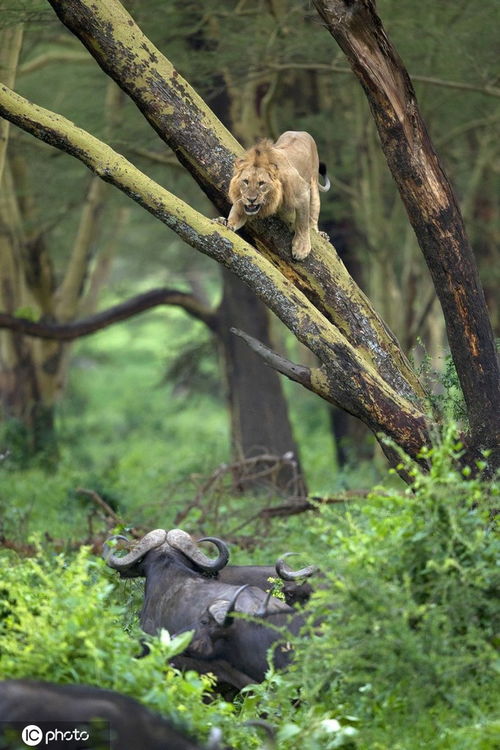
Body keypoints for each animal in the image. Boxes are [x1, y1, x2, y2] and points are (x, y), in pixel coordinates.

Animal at [221, 134, 330, 262]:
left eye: (261, 183)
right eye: (245, 181)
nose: (251, 199)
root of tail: (302, 132)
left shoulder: (302, 193)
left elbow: (302, 223)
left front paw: (301, 249)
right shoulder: (242, 203)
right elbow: (235, 216)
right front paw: (226, 223)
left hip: (314, 183)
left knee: (313, 215)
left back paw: (320, 233)